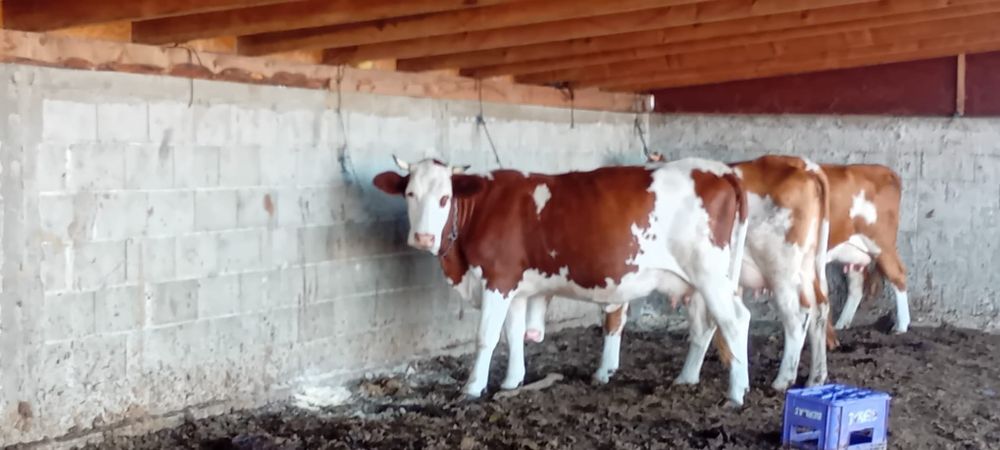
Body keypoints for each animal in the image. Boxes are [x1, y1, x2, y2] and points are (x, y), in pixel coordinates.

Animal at [373, 156, 754, 405]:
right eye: (410, 194)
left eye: (444, 198)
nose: (422, 237)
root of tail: (718, 168)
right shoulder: (517, 287)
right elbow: (514, 334)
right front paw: (512, 381)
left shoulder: (498, 278)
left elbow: (486, 338)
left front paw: (473, 387)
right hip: (698, 283)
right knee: (705, 326)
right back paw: (686, 379)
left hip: (709, 273)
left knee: (736, 320)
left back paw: (736, 393)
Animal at [526, 154, 834, 392]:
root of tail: (800, 164)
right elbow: (615, 317)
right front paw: (607, 370)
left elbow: (613, 316)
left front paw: (603, 372)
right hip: (804, 269)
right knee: (818, 310)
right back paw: (815, 377)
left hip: (779, 270)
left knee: (796, 317)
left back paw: (783, 379)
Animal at [822, 164, 909, 333]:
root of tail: (885, 171)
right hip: (853, 252)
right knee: (856, 286)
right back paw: (842, 324)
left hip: (881, 242)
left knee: (898, 274)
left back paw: (901, 326)